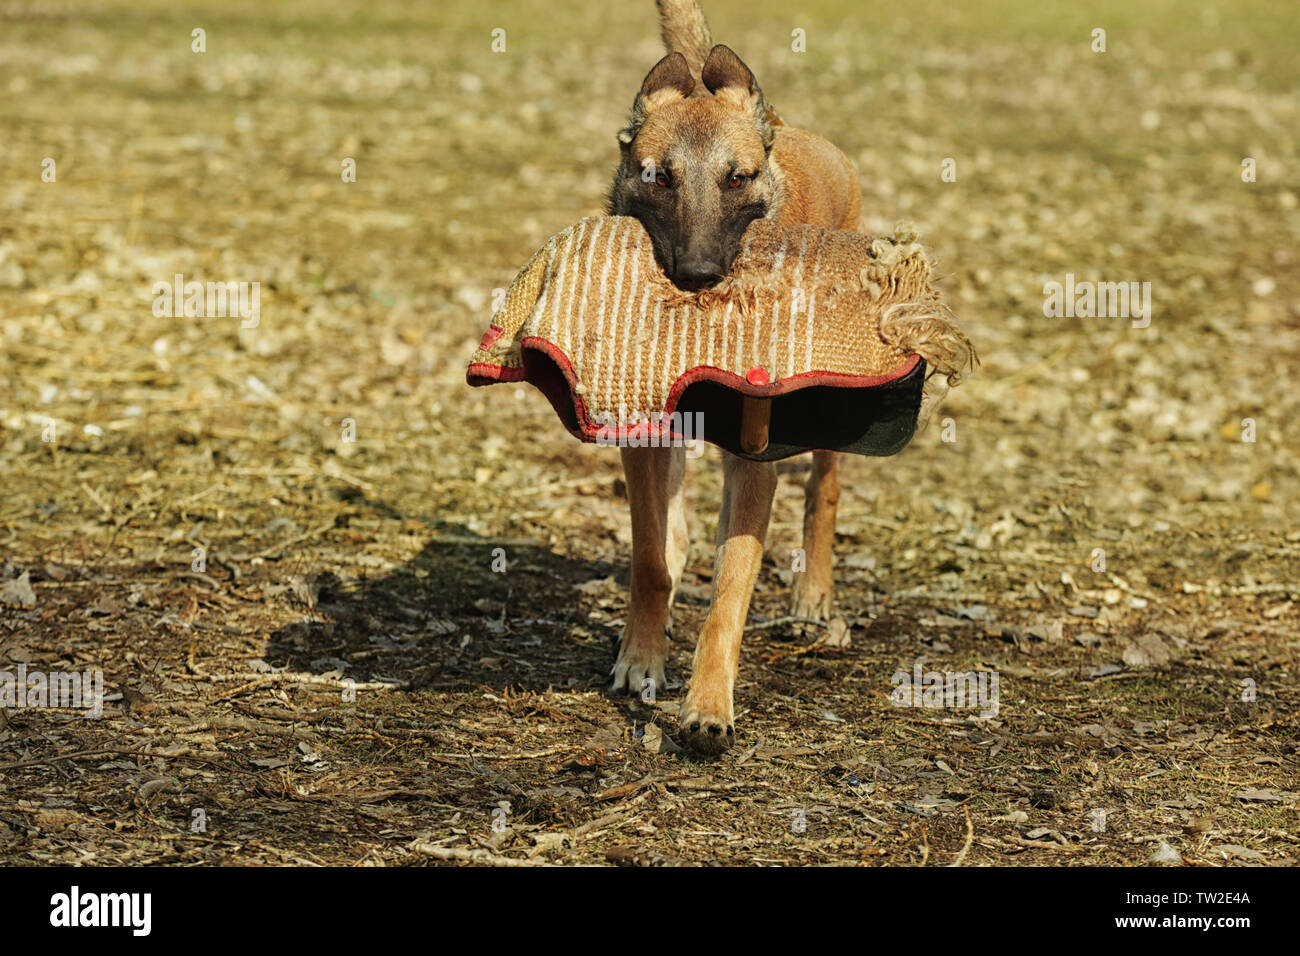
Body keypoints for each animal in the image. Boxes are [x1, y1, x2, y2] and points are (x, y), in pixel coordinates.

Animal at [605, 0, 863, 754]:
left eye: (736, 178)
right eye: (658, 177)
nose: (697, 274)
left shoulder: (755, 460)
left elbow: (731, 591)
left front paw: (708, 705)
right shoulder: (647, 439)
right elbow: (651, 557)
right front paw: (642, 656)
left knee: (824, 489)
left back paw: (813, 599)